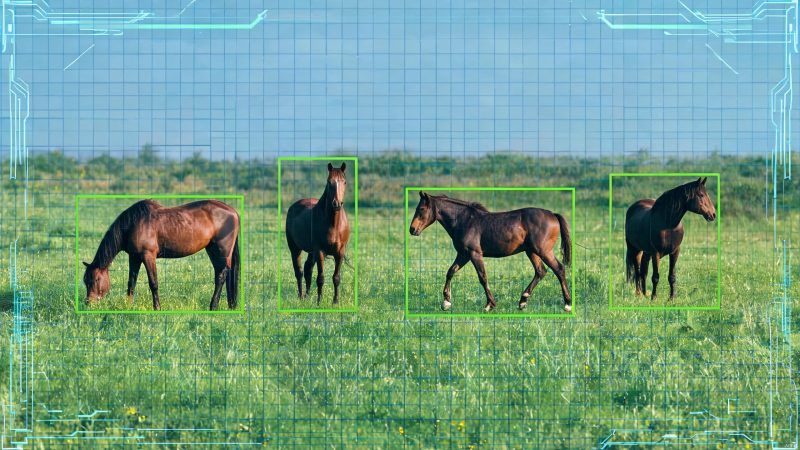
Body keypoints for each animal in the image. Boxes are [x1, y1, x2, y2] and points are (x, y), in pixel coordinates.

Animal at [82, 199, 241, 310]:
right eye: (85, 280)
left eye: (96, 279)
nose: (89, 303)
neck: (134, 223)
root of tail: (233, 212)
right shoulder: (134, 257)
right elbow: (131, 283)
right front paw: (129, 306)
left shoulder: (148, 256)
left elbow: (153, 283)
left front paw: (157, 307)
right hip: (212, 249)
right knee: (220, 273)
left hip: (222, 250)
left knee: (221, 276)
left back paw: (213, 306)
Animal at [285, 162, 350, 304]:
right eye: (329, 182)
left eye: (344, 182)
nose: (336, 204)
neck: (333, 224)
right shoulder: (320, 251)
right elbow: (320, 278)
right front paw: (319, 301)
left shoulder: (340, 253)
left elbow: (336, 277)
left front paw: (335, 302)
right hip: (295, 248)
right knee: (299, 272)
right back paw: (301, 296)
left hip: (311, 252)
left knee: (307, 269)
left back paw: (307, 296)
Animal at [409, 192, 572, 312]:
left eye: (421, 209)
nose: (412, 229)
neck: (464, 221)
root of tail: (553, 214)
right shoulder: (463, 254)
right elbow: (450, 271)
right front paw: (446, 302)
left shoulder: (474, 254)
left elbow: (482, 277)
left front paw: (489, 305)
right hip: (531, 252)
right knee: (541, 271)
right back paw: (523, 301)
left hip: (543, 251)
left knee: (558, 269)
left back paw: (567, 304)